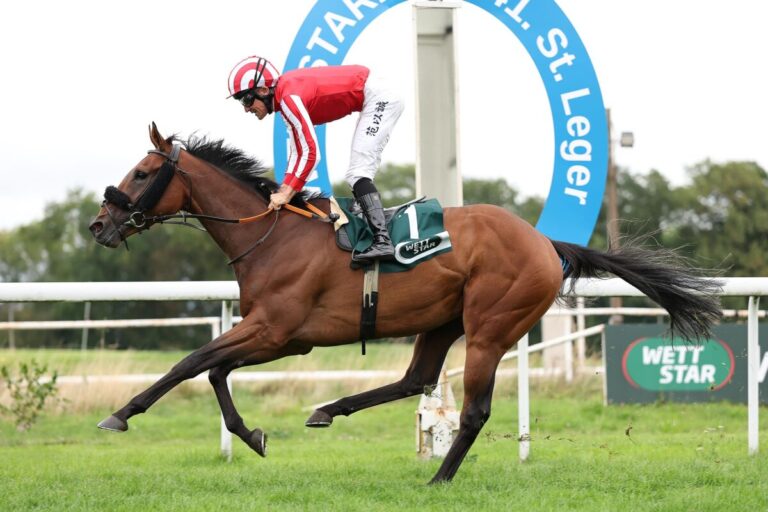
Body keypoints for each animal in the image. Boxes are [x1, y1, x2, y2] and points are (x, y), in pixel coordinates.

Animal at [88, 123, 722, 484]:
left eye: (142, 172)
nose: (99, 225)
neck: (270, 235)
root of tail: (546, 244)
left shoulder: (278, 330)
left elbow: (192, 362)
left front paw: (121, 413)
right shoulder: (280, 336)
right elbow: (214, 369)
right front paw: (252, 435)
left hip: (490, 326)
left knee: (472, 411)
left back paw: (439, 479)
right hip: (440, 322)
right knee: (416, 379)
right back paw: (330, 410)